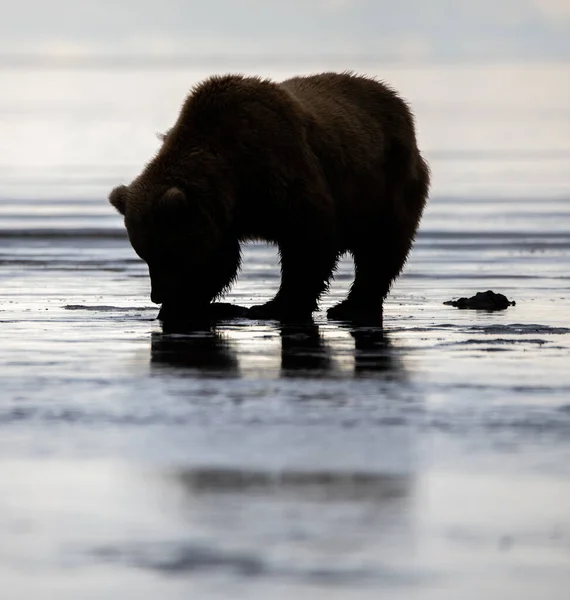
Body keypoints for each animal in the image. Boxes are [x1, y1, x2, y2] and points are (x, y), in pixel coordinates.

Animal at [107, 71, 426, 324]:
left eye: (168, 253)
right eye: (144, 254)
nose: (157, 295)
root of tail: (396, 100)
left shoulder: (280, 170)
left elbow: (308, 240)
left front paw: (275, 305)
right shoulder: (223, 216)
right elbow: (220, 259)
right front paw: (185, 304)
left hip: (386, 182)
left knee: (382, 247)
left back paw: (351, 306)